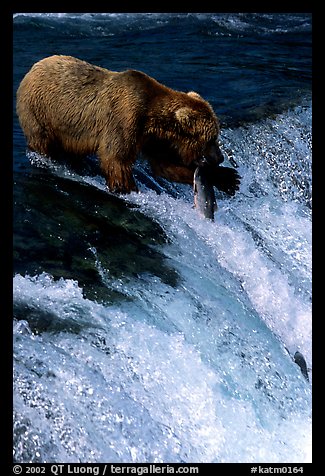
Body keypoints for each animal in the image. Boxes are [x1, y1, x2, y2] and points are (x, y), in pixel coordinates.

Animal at [16, 55, 238, 195]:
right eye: (211, 138)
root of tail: (32, 68)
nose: (220, 157)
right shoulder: (124, 119)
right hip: (40, 112)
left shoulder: (152, 138)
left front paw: (229, 178)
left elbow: (166, 166)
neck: (152, 117)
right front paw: (128, 188)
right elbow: (116, 158)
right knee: (43, 142)